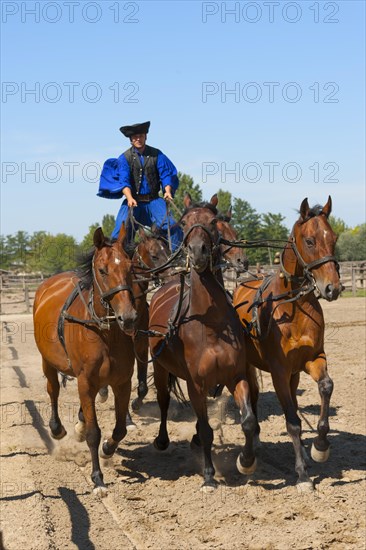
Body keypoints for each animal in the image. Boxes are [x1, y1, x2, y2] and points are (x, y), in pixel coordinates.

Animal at [32, 224, 167, 496]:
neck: (105, 331)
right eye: (103, 270)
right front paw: (97, 478)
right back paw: (57, 428)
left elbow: (120, 427)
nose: (128, 317)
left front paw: (108, 448)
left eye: (129, 268)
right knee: (53, 390)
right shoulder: (85, 382)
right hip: (48, 362)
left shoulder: (122, 381)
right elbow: (94, 433)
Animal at [147, 197, 258, 492]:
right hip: (161, 369)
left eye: (212, 222)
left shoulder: (236, 376)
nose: (197, 252)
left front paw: (246, 461)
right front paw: (208, 475)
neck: (212, 326)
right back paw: (162, 440)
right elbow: (207, 430)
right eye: (184, 223)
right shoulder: (195, 383)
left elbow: (248, 422)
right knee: (164, 401)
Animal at [233, 197, 342, 492]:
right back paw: (254, 447)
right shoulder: (279, 371)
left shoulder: (313, 358)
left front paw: (319, 447)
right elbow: (292, 422)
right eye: (310, 240)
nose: (333, 288)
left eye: (334, 238)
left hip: (294, 373)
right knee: (253, 398)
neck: (295, 307)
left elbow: (326, 387)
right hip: (250, 367)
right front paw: (302, 475)